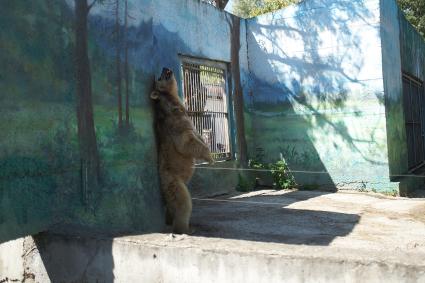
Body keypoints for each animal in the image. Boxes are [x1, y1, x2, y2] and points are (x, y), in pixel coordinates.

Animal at [151, 67, 214, 235]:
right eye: (160, 77)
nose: (165, 68)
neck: (175, 103)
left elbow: (197, 134)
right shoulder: (175, 123)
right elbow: (186, 142)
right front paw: (210, 157)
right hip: (172, 181)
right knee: (183, 202)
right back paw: (185, 228)